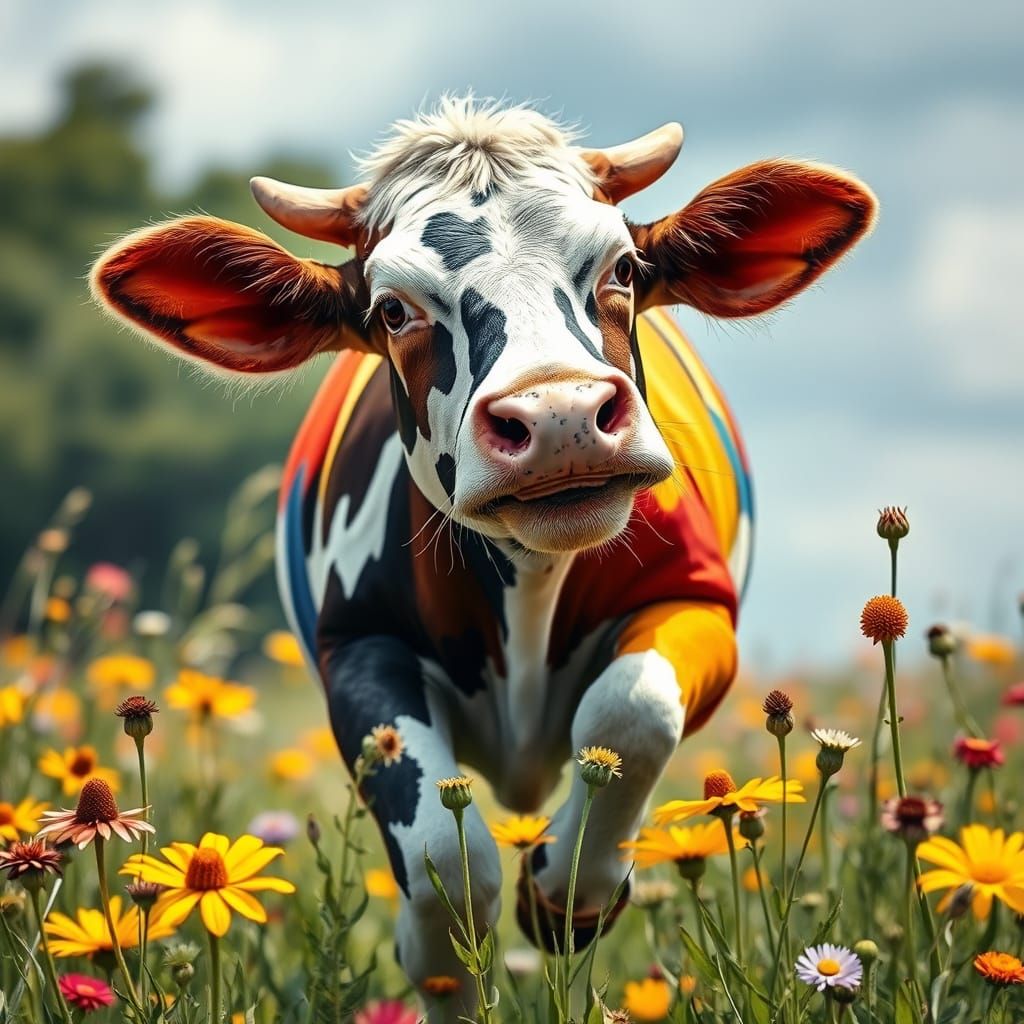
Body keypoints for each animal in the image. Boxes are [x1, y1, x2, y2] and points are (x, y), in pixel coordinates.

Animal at [91, 96, 876, 1019]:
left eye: (622, 268)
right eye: (393, 310)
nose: (560, 416)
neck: (528, 584)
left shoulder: (695, 603)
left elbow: (632, 713)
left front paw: (567, 896)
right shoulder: (359, 648)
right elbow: (443, 861)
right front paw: (449, 949)